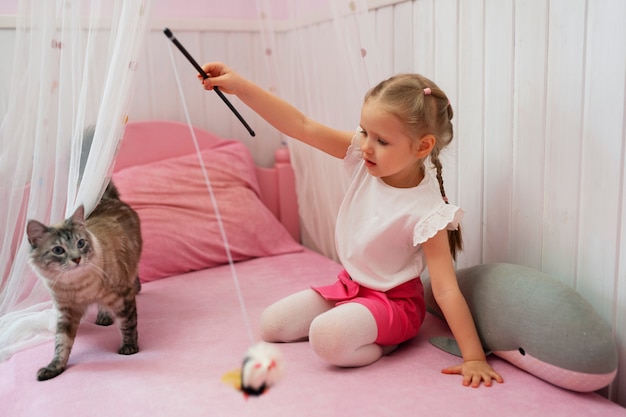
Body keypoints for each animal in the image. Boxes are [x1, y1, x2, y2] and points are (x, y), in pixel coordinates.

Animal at [26, 180, 141, 378]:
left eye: (80, 243)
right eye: (58, 250)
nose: (77, 259)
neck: (78, 285)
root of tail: (108, 199)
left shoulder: (124, 296)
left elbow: (128, 324)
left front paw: (129, 348)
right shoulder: (67, 311)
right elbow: (61, 344)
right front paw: (54, 368)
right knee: (103, 306)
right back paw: (104, 317)